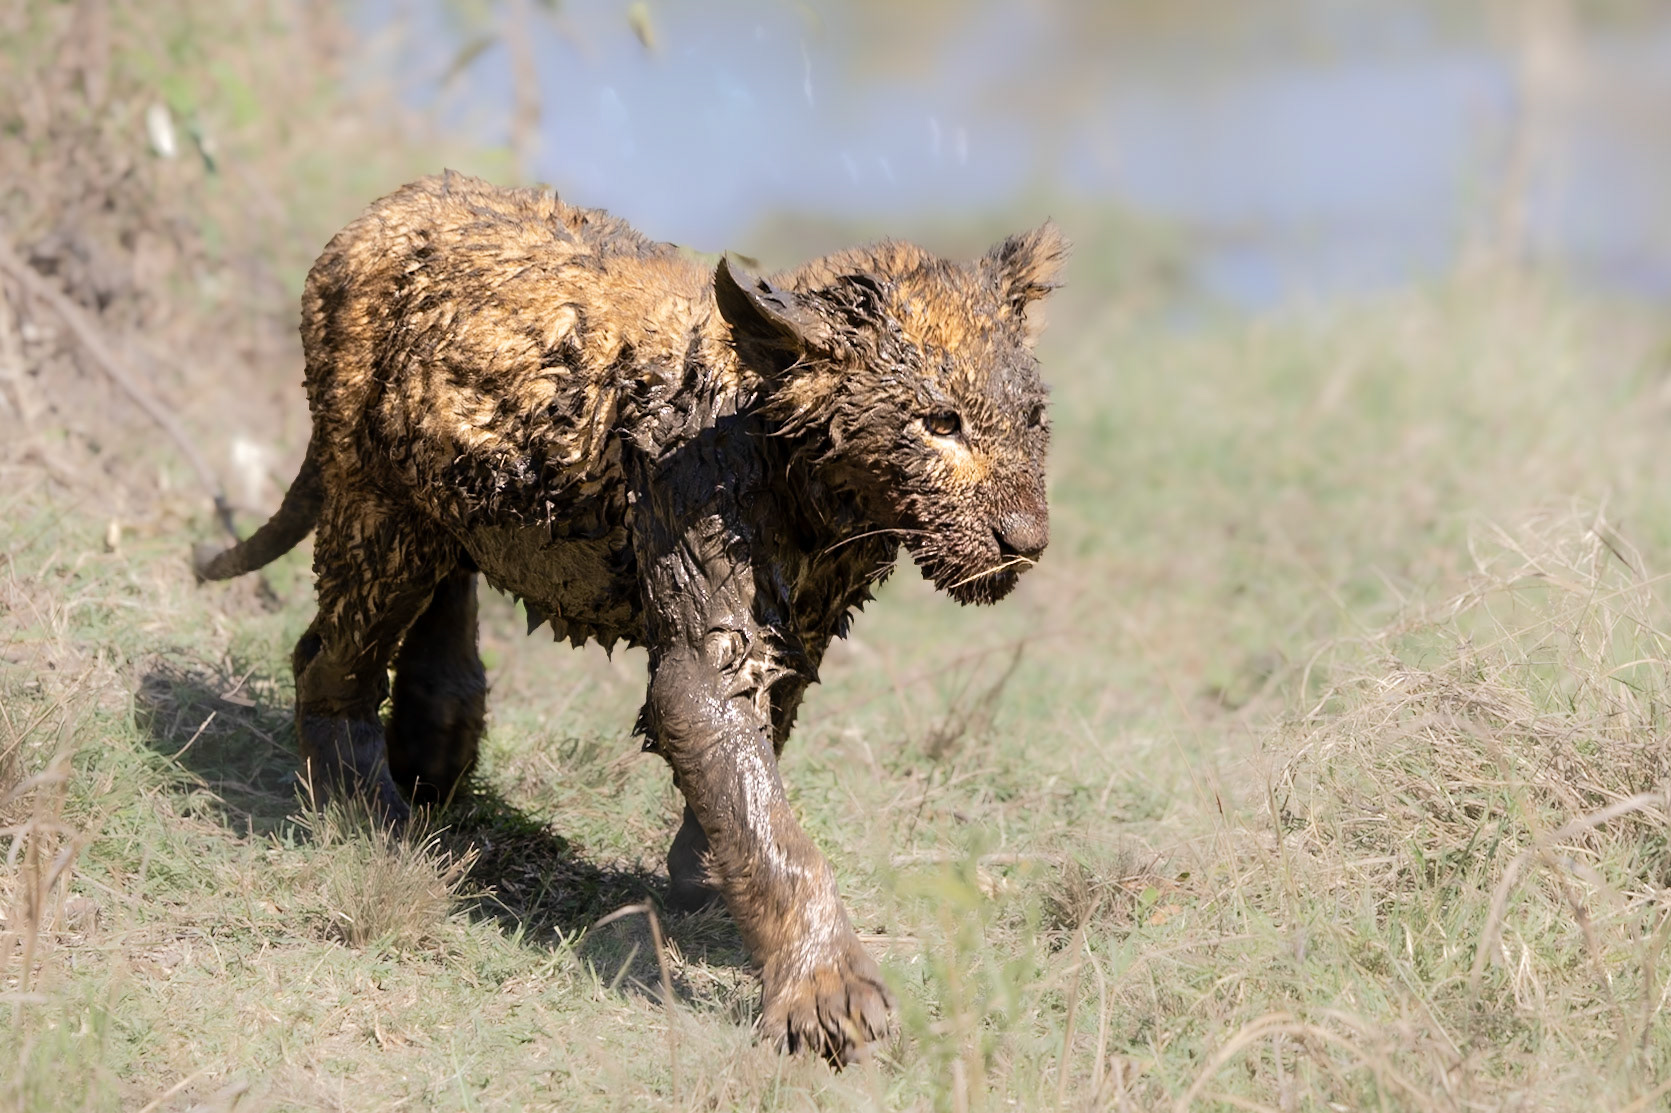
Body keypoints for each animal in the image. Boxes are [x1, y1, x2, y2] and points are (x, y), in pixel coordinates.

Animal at [194, 171, 1065, 1063]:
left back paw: (434, 750)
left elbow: (756, 774)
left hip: (442, 505)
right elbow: (771, 827)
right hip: (376, 511)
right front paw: (828, 992)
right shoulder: (705, 645)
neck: (822, 494)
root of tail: (383, 208)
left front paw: (703, 883)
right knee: (325, 656)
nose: (1024, 541)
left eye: (1031, 419)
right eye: (938, 422)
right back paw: (364, 808)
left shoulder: (798, 633)